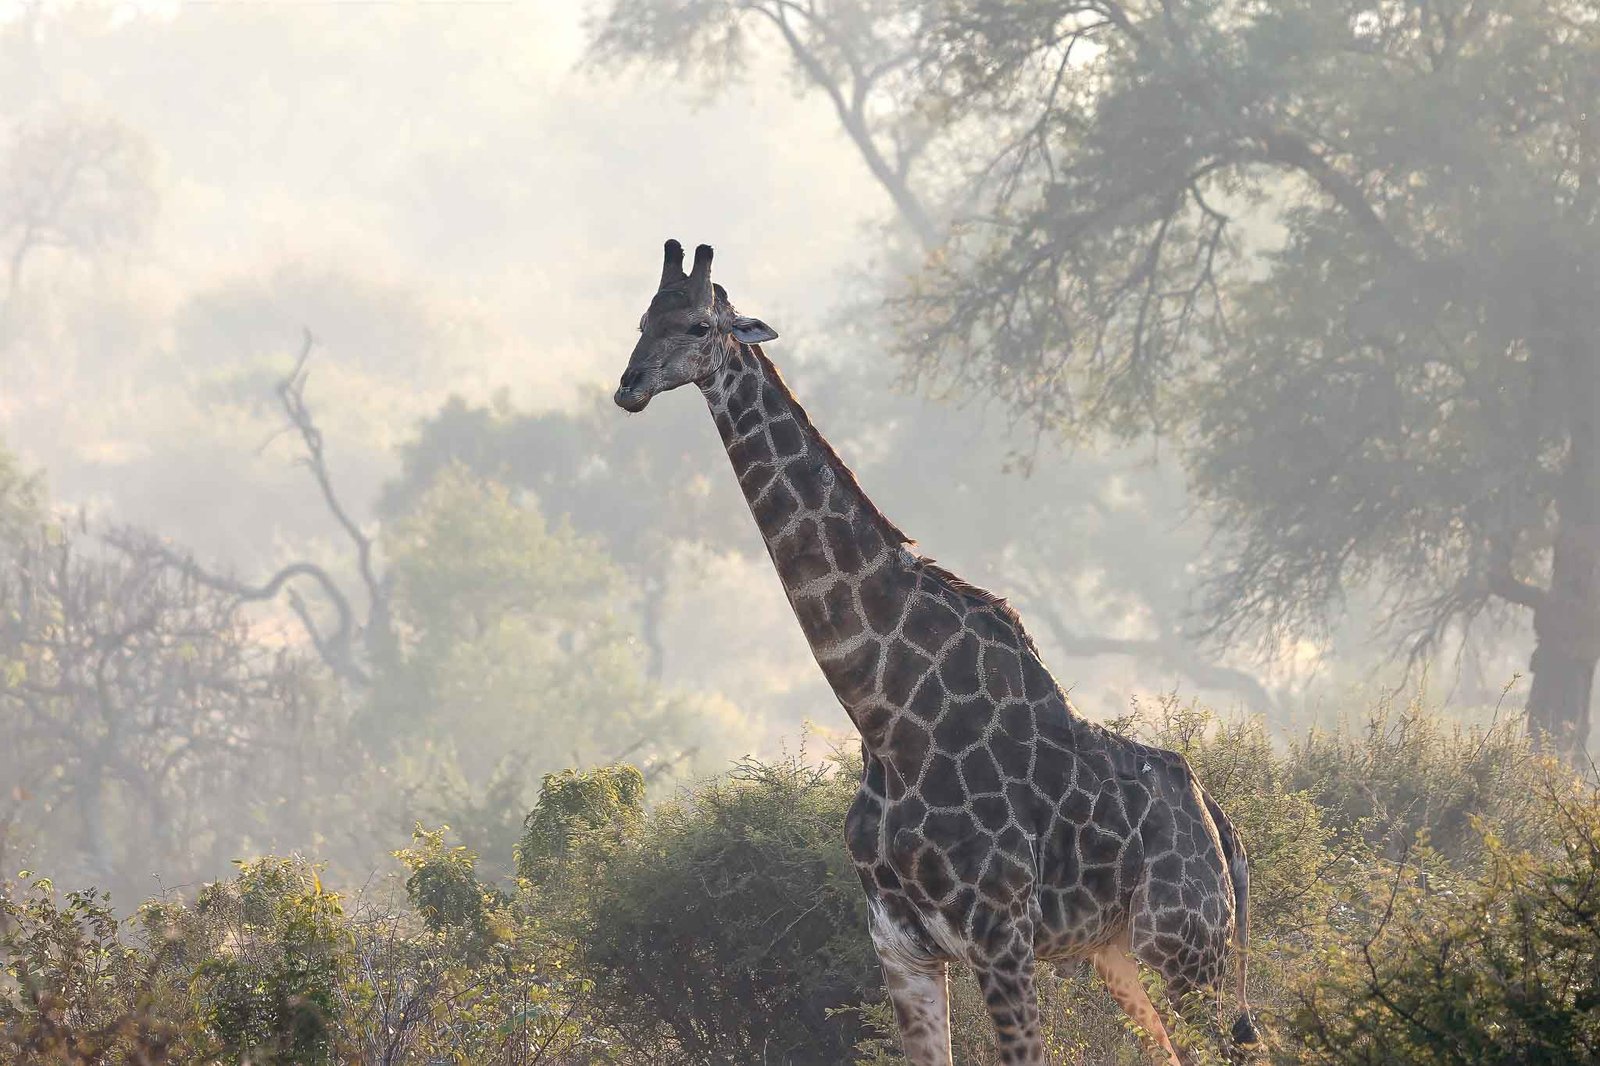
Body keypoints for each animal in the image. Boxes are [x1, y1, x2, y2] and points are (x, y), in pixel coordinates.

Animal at [614, 240, 1260, 1066]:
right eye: (641, 322)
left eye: (698, 325)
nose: (629, 387)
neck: (882, 715)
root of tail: (1224, 828)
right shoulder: (900, 946)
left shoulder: (1000, 938)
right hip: (1119, 955)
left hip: (1183, 948)